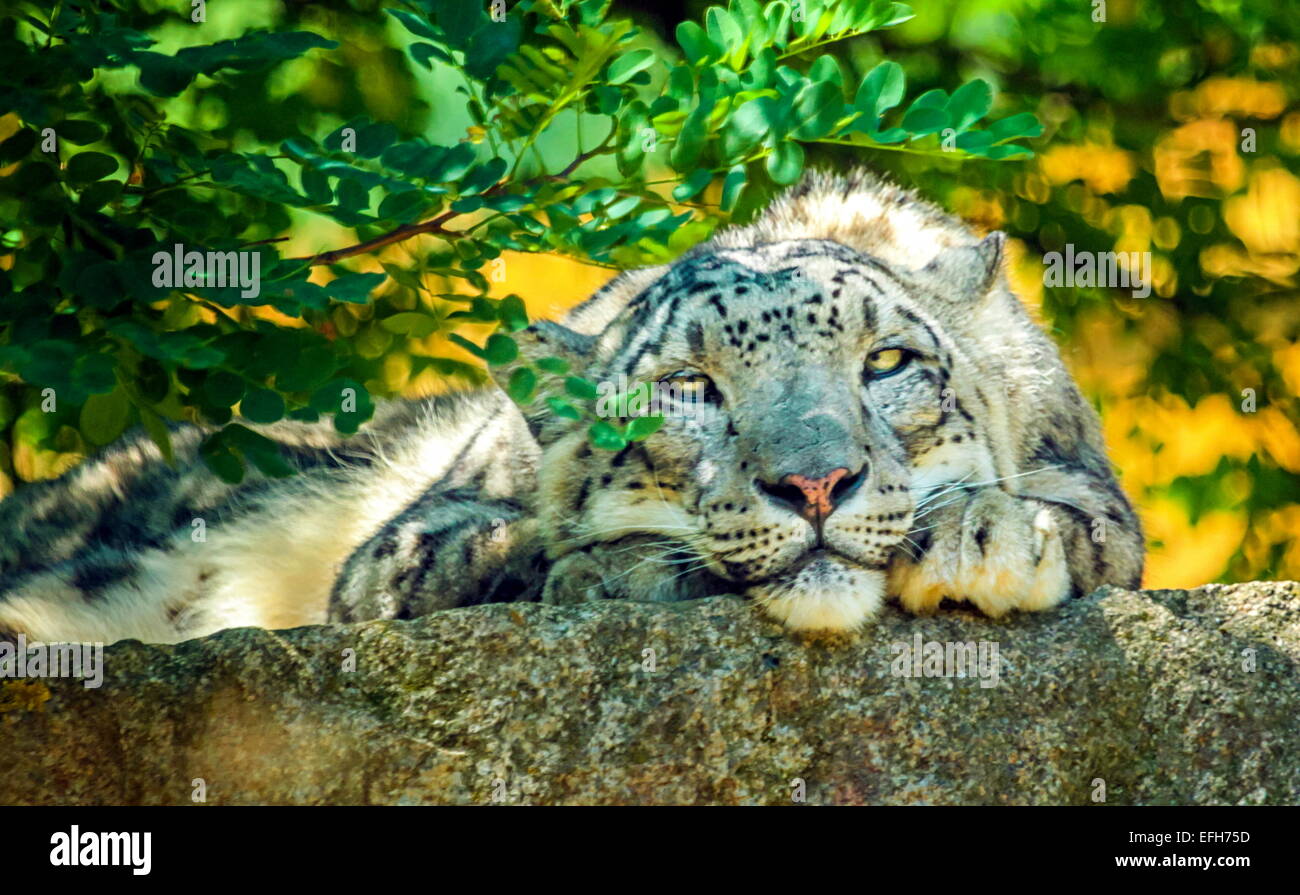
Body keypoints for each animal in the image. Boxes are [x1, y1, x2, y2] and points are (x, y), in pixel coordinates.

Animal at [0, 169, 1138, 642]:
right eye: (689, 386)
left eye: (888, 359)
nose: (814, 482)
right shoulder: (391, 552)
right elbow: (467, 549)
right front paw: (614, 565)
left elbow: (1092, 523)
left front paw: (985, 530)